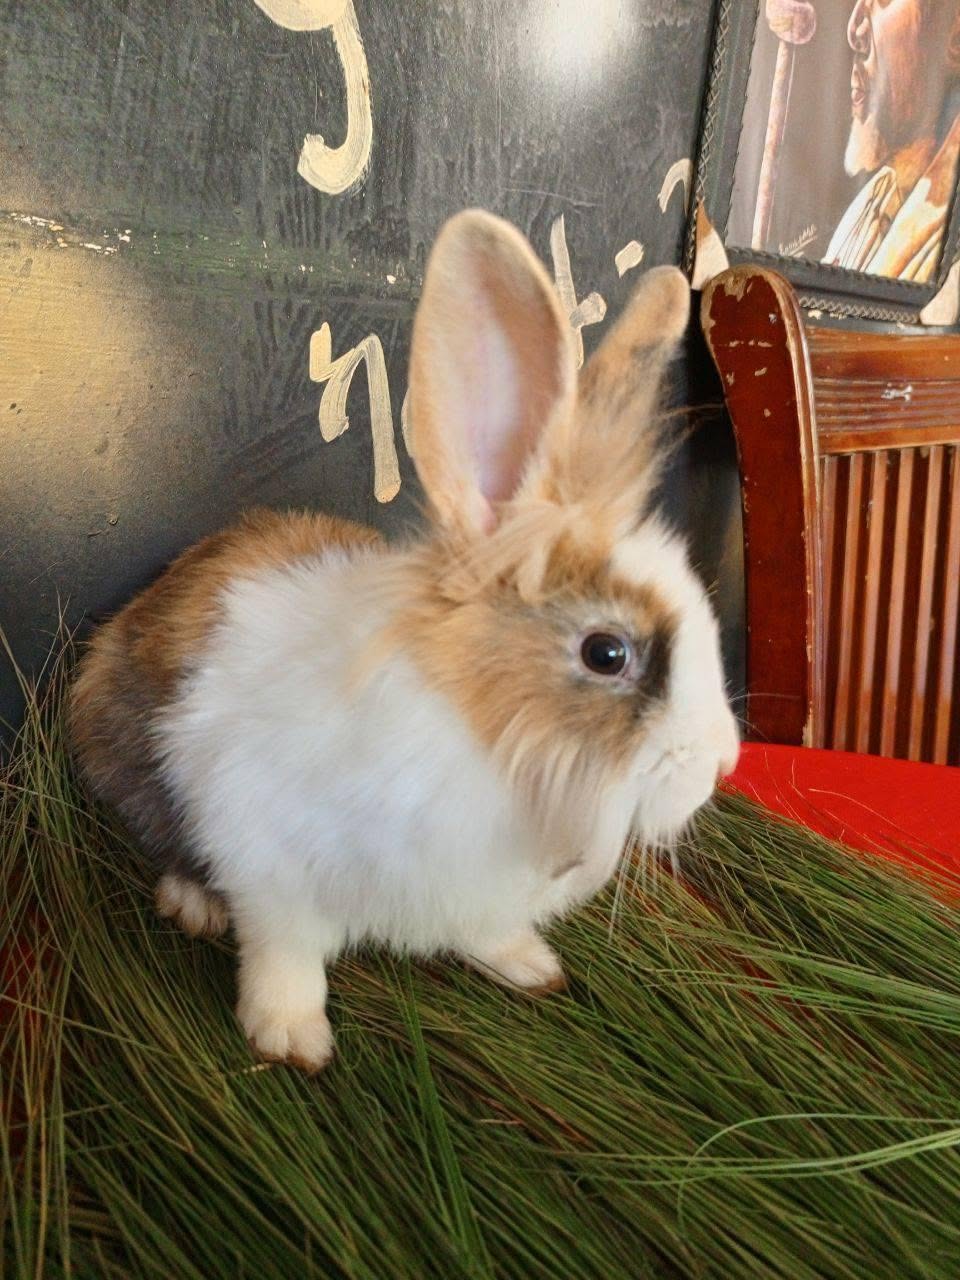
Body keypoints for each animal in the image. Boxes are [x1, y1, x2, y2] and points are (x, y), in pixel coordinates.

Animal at [69, 209, 739, 1072]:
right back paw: (194, 904)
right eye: (607, 653)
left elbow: (486, 931)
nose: (724, 765)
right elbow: (284, 952)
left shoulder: (476, 893)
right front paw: (291, 1039)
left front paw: (532, 967)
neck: (486, 739)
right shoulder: (269, 861)